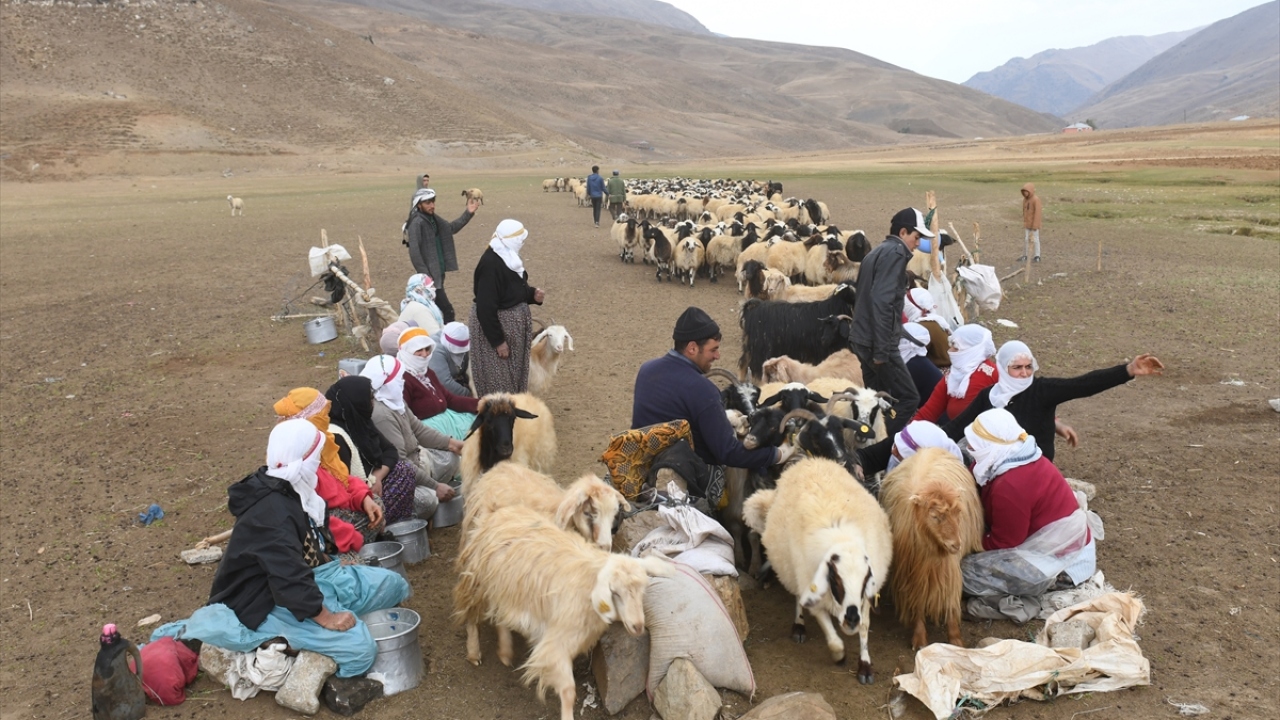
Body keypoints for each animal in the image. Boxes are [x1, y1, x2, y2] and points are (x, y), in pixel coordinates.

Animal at [453, 505, 673, 719]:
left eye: (642, 591)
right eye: (615, 593)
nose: (638, 626)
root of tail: (497, 513)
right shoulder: (556, 641)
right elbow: (568, 691)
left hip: (505, 589)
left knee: (501, 615)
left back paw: (505, 651)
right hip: (476, 583)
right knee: (471, 617)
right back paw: (474, 653)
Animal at [743, 457, 892, 683]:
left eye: (865, 581)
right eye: (835, 579)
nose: (851, 619)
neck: (843, 539)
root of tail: (809, 460)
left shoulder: (866, 597)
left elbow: (865, 627)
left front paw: (865, 666)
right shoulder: (816, 595)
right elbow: (832, 638)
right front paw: (839, 656)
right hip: (794, 570)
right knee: (797, 597)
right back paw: (799, 626)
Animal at [879, 448, 983, 650]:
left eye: (958, 512)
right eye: (934, 516)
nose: (956, 544)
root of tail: (929, 449)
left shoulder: (949, 568)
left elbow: (950, 600)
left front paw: (955, 639)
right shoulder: (912, 573)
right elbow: (918, 602)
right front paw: (919, 638)